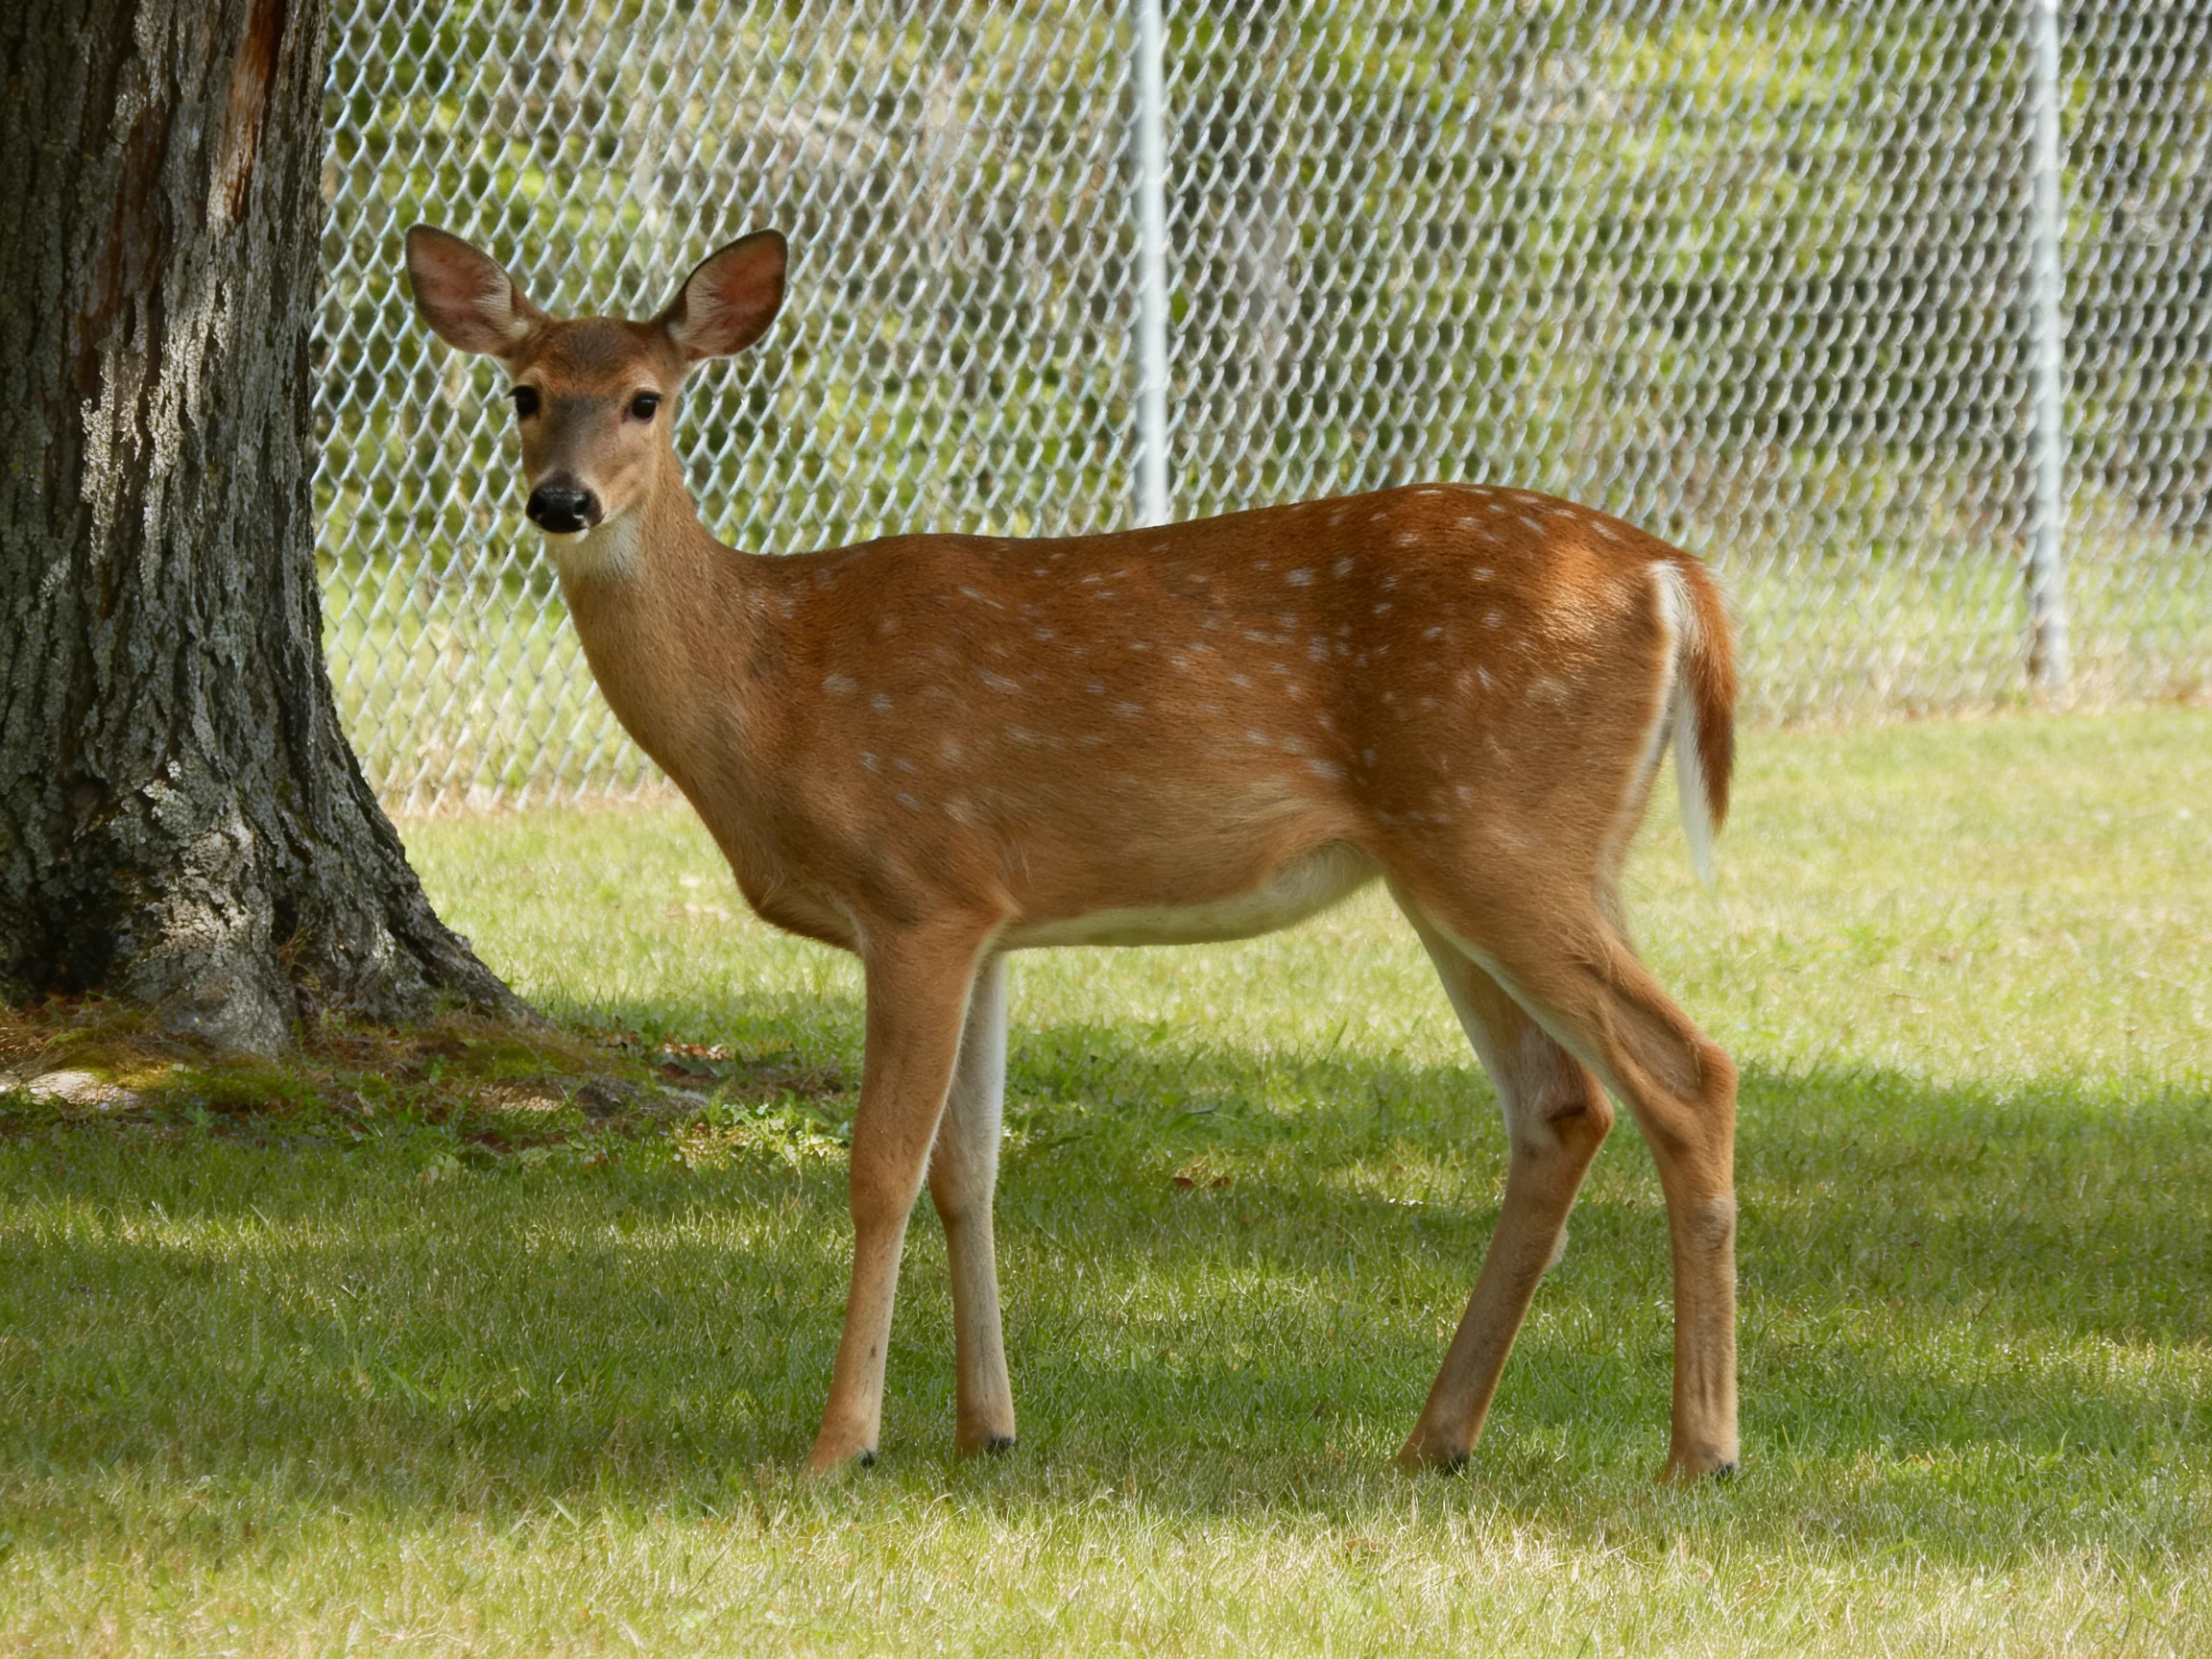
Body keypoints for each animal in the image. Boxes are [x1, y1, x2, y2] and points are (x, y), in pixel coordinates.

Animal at [404, 222, 1743, 1483]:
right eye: (524, 392)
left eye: (647, 397)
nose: (563, 501)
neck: (775, 686)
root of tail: (1677, 577)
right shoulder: (989, 920)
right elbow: (971, 1167)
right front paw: (984, 1429)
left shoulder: (918, 892)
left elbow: (881, 1164)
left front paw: (844, 1442)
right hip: (1472, 865)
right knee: (1562, 1106)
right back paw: (1438, 1438)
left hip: (1502, 835)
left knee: (1689, 1069)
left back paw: (1701, 1450)